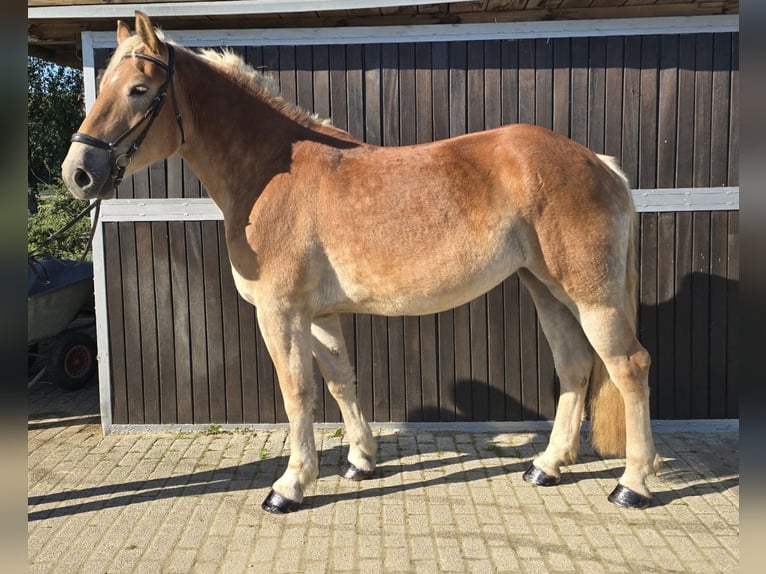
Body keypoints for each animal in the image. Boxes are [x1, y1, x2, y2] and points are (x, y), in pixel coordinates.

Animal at [62, 11, 660, 513]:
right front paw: (360, 461)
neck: (270, 173)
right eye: (105, 86)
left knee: (628, 366)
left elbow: (297, 393)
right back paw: (547, 466)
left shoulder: (280, 313)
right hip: (545, 288)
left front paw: (290, 486)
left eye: (139, 89)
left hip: (591, 296)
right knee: (575, 366)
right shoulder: (320, 315)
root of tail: (599, 162)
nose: (79, 172)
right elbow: (340, 382)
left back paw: (631, 484)